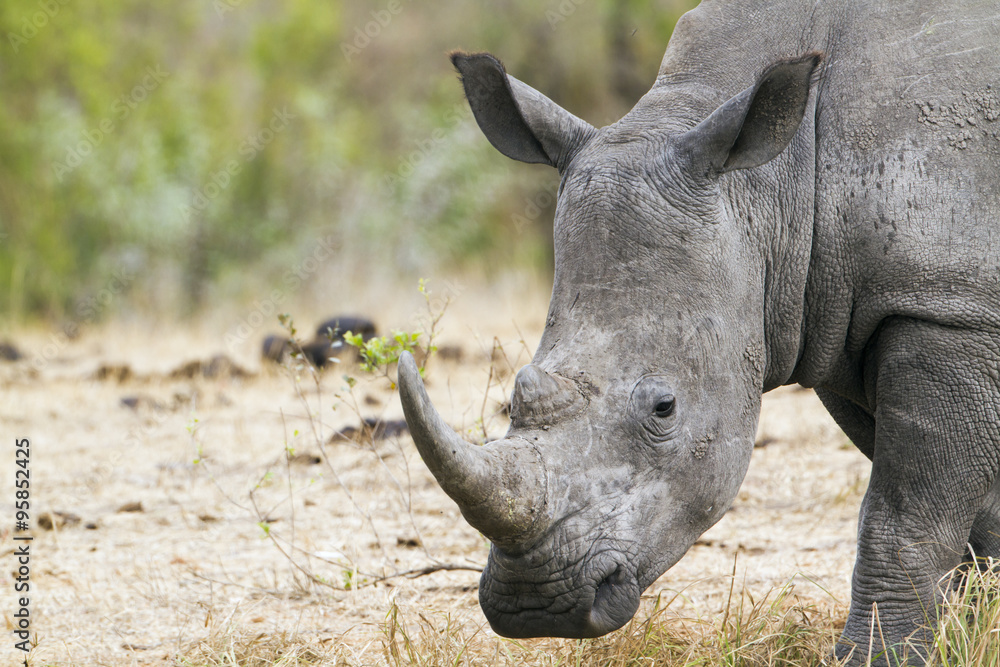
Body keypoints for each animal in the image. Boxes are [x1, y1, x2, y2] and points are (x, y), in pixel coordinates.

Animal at [397, 1, 1000, 663]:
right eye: (513, 398)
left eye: (664, 408)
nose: (536, 604)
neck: (774, 186)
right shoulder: (843, 317)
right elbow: (964, 512)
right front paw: (972, 632)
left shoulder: (945, 304)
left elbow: (905, 514)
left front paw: (877, 657)